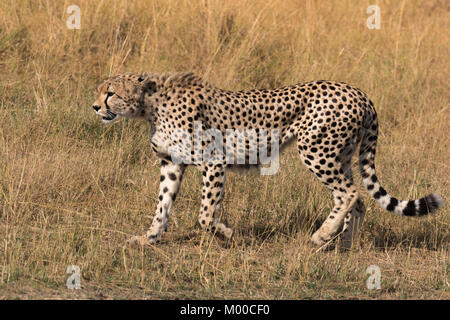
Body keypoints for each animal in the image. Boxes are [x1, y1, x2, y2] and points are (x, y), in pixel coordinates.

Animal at [90, 72, 442, 250]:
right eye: (101, 91)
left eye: (110, 93)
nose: (95, 107)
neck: (150, 106)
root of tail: (358, 91)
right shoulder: (172, 164)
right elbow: (162, 206)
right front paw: (148, 238)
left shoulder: (214, 162)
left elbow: (205, 214)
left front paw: (225, 234)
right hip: (338, 156)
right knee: (358, 201)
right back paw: (341, 245)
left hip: (316, 152)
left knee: (350, 193)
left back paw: (322, 235)